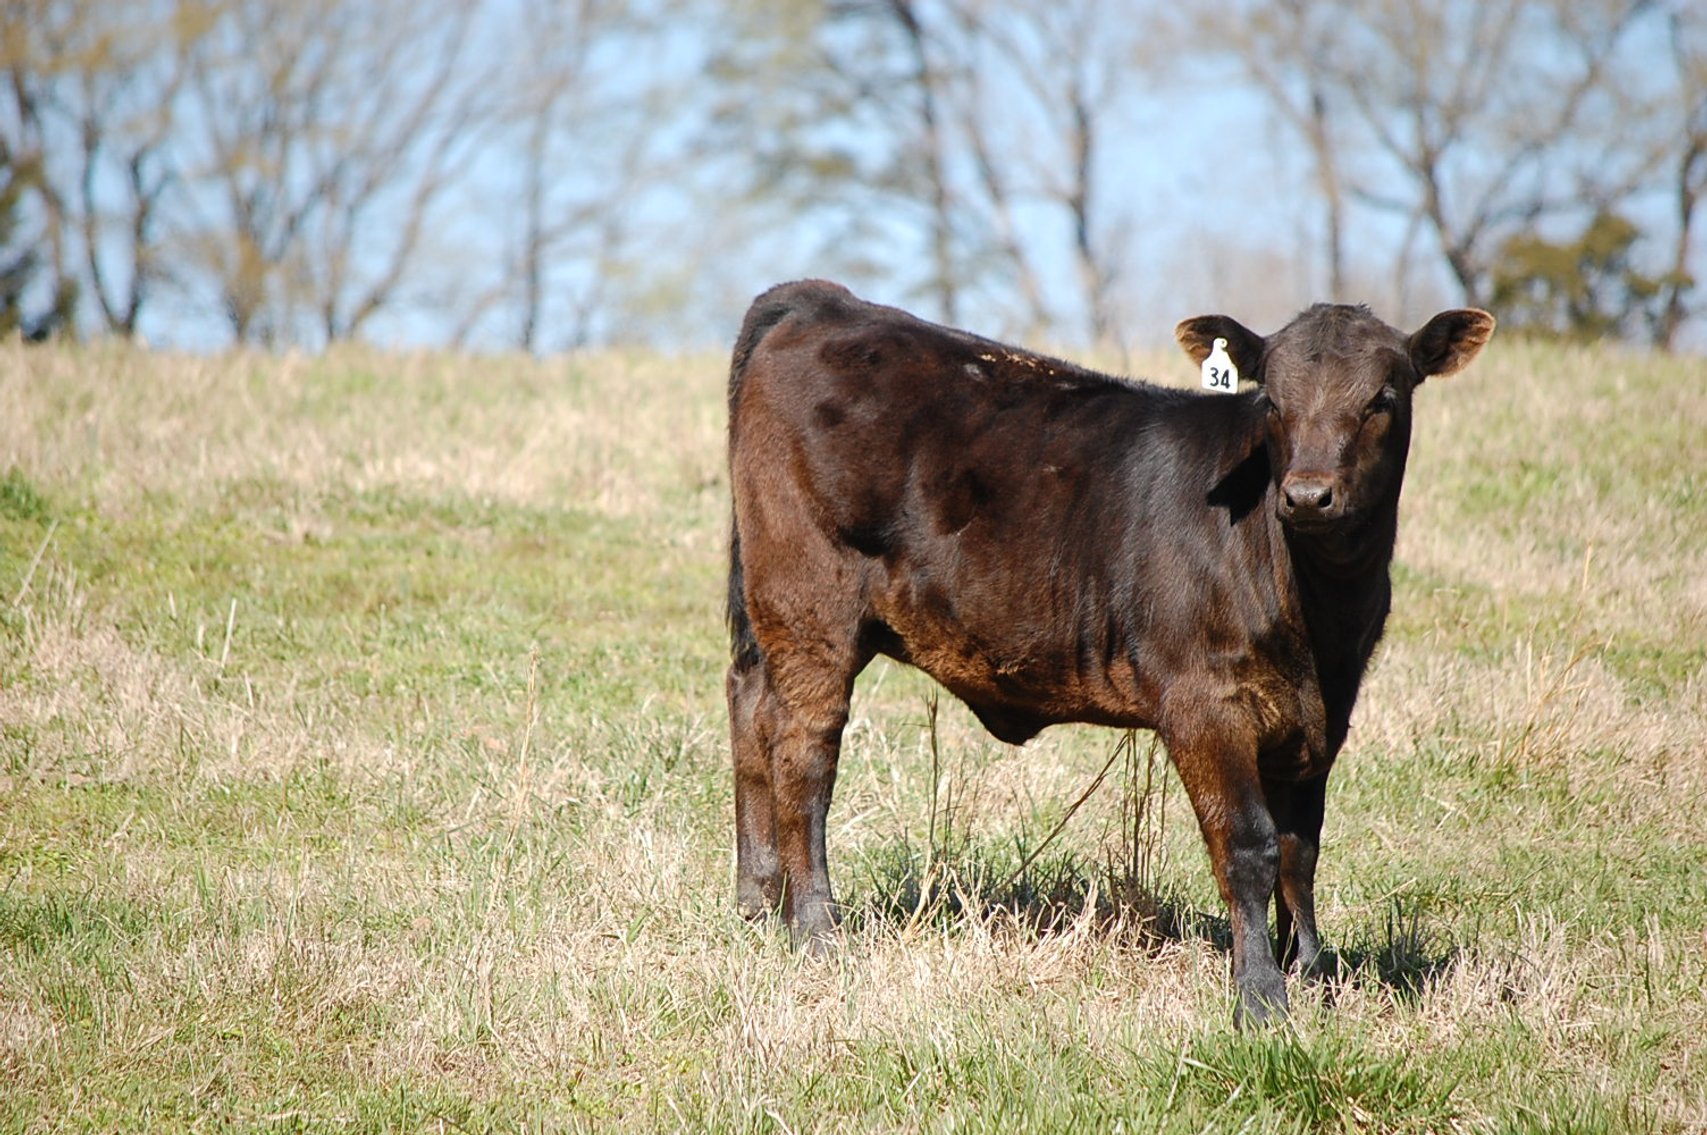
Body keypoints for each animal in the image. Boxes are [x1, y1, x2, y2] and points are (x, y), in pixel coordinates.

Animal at [723, 280, 1493, 1023]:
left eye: (1382, 399)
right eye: (1272, 400)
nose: (1306, 496)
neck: (1315, 616)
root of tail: (824, 300)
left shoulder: (1322, 714)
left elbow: (1298, 851)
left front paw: (1308, 971)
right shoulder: (1202, 703)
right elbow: (1248, 845)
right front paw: (1260, 997)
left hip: (772, 621)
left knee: (749, 711)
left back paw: (759, 901)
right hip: (809, 605)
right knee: (803, 751)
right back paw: (816, 929)